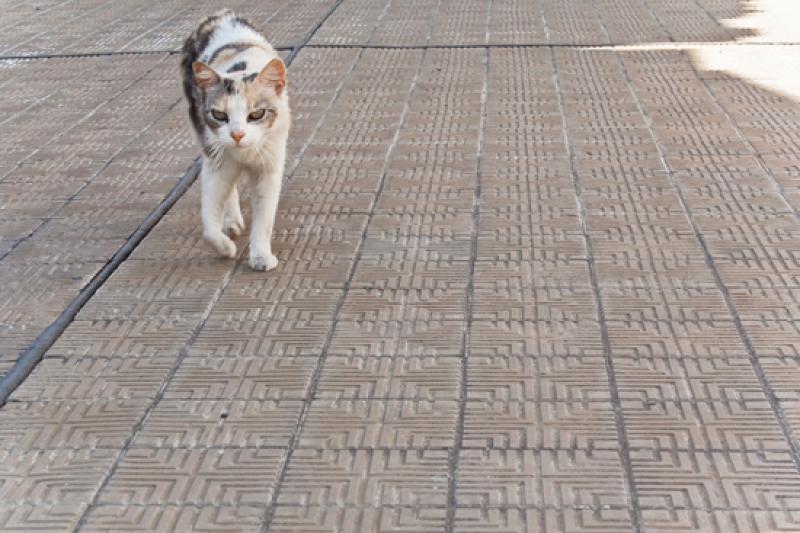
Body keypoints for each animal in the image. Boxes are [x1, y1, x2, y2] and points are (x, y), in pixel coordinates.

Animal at [181, 10, 290, 270]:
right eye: (219, 115)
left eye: (256, 114)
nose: (237, 135)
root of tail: (221, 14)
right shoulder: (215, 159)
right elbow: (209, 225)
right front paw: (225, 248)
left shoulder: (269, 167)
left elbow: (264, 218)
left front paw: (261, 256)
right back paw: (231, 222)